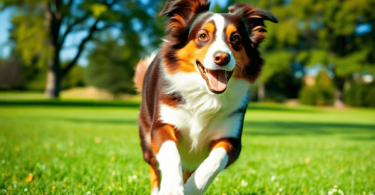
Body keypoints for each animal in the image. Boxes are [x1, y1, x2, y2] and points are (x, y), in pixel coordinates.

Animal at [134, 0, 278, 194]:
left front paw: (189, 189)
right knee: (154, 171)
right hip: (147, 143)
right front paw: (172, 188)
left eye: (236, 38)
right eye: (203, 36)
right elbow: (171, 155)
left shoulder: (232, 140)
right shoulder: (161, 126)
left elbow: (212, 164)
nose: (222, 57)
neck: (206, 96)